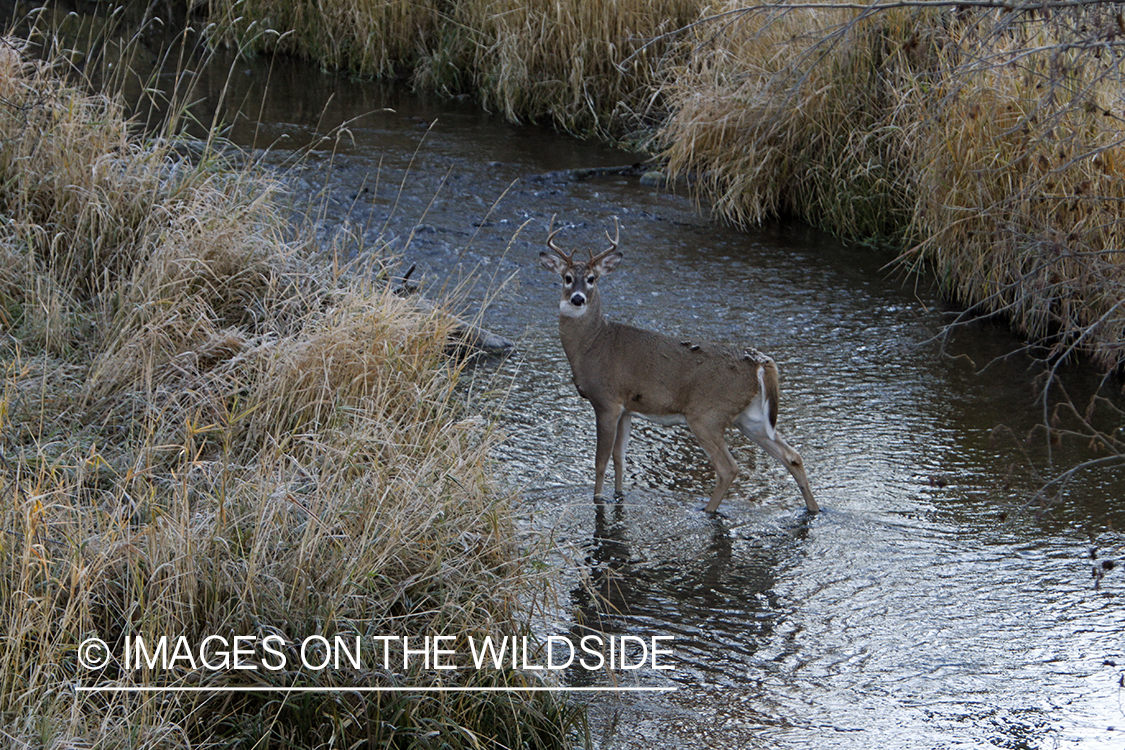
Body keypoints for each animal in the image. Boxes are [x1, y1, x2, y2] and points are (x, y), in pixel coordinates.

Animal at [537, 220, 819, 517]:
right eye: (567, 278)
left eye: (592, 279)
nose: (578, 299)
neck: (593, 344)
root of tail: (760, 363)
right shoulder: (626, 408)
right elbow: (619, 457)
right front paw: (619, 495)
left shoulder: (606, 400)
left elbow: (600, 459)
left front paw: (597, 499)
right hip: (751, 418)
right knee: (792, 456)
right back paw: (813, 509)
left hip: (707, 414)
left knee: (728, 467)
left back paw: (706, 510)